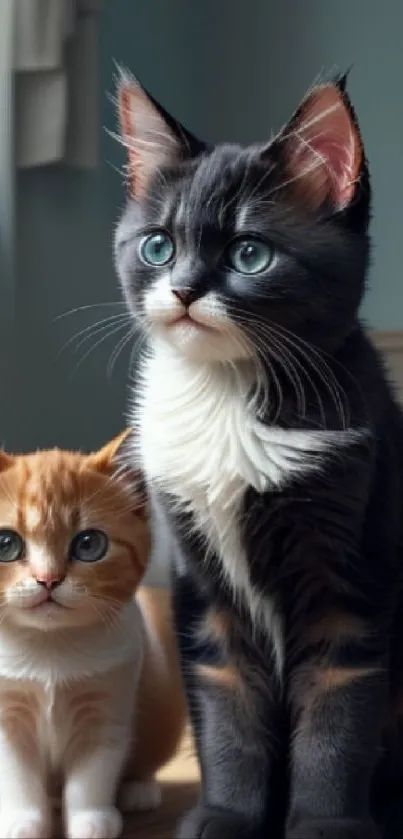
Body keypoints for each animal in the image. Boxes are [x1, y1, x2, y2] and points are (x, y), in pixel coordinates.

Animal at [0, 434, 186, 839]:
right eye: (6, 544)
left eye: (88, 544)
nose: (48, 579)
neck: (50, 648)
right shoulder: (7, 715)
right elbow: (16, 774)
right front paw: (23, 821)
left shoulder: (107, 706)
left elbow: (94, 771)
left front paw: (91, 820)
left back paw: (138, 789)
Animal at [113, 74, 403, 839]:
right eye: (158, 246)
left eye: (249, 254)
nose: (184, 288)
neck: (229, 394)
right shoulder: (202, 585)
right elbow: (226, 702)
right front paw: (225, 815)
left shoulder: (349, 571)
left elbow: (337, 706)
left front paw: (326, 824)